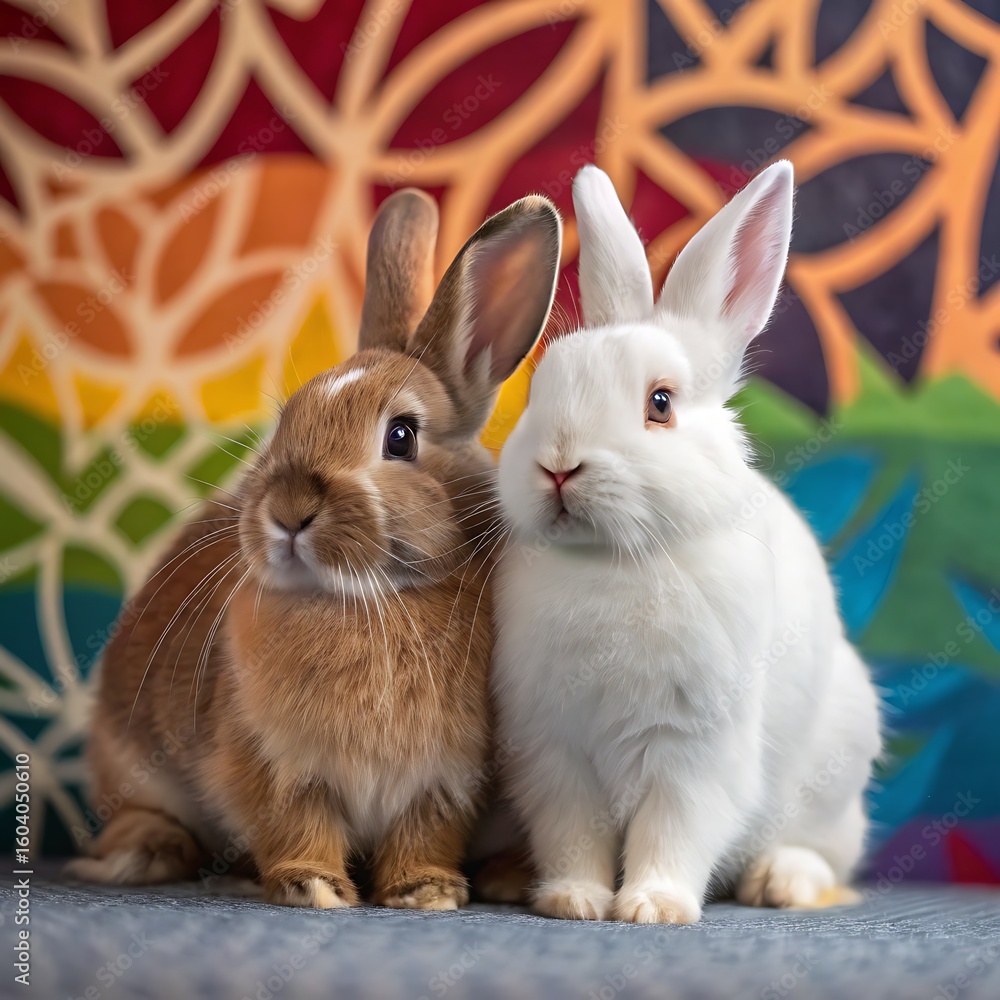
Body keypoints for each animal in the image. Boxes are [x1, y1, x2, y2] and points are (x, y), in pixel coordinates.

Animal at [66, 187, 563, 911]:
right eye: (286, 422)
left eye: (402, 436)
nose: (288, 510)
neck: (375, 599)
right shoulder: (272, 764)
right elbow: (296, 825)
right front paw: (314, 887)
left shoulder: (446, 780)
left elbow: (425, 835)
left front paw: (425, 891)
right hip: (127, 759)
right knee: (139, 817)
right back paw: (148, 855)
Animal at [492, 161, 882, 924]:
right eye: (540, 389)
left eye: (661, 404)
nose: (558, 465)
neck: (616, 561)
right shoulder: (554, 750)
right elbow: (571, 832)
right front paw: (575, 901)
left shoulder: (694, 750)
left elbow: (675, 827)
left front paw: (652, 907)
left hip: (834, 773)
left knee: (825, 853)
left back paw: (780, 883)